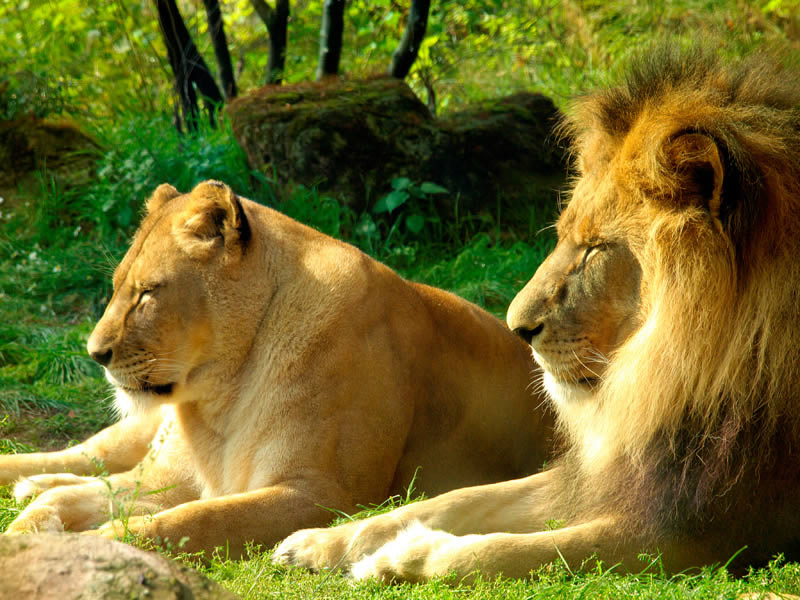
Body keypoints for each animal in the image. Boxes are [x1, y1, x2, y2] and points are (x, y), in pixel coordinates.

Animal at [0, 180, 552, 556]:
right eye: (117, 287)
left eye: (148, 292)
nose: (95, 352)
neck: (219, 397)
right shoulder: (172, 480)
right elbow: (74, 502)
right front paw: (23, 537)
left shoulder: (322, 494)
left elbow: (193, 521)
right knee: (87, 456)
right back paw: (30, 483)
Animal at [274, 47, 800, 580]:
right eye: (565, 236)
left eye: (595, 249)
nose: (517, 329)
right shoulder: (606, 478)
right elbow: (455, 498)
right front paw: (317, 541)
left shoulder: (706, 531)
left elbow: (523, 549)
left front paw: (405, 555)